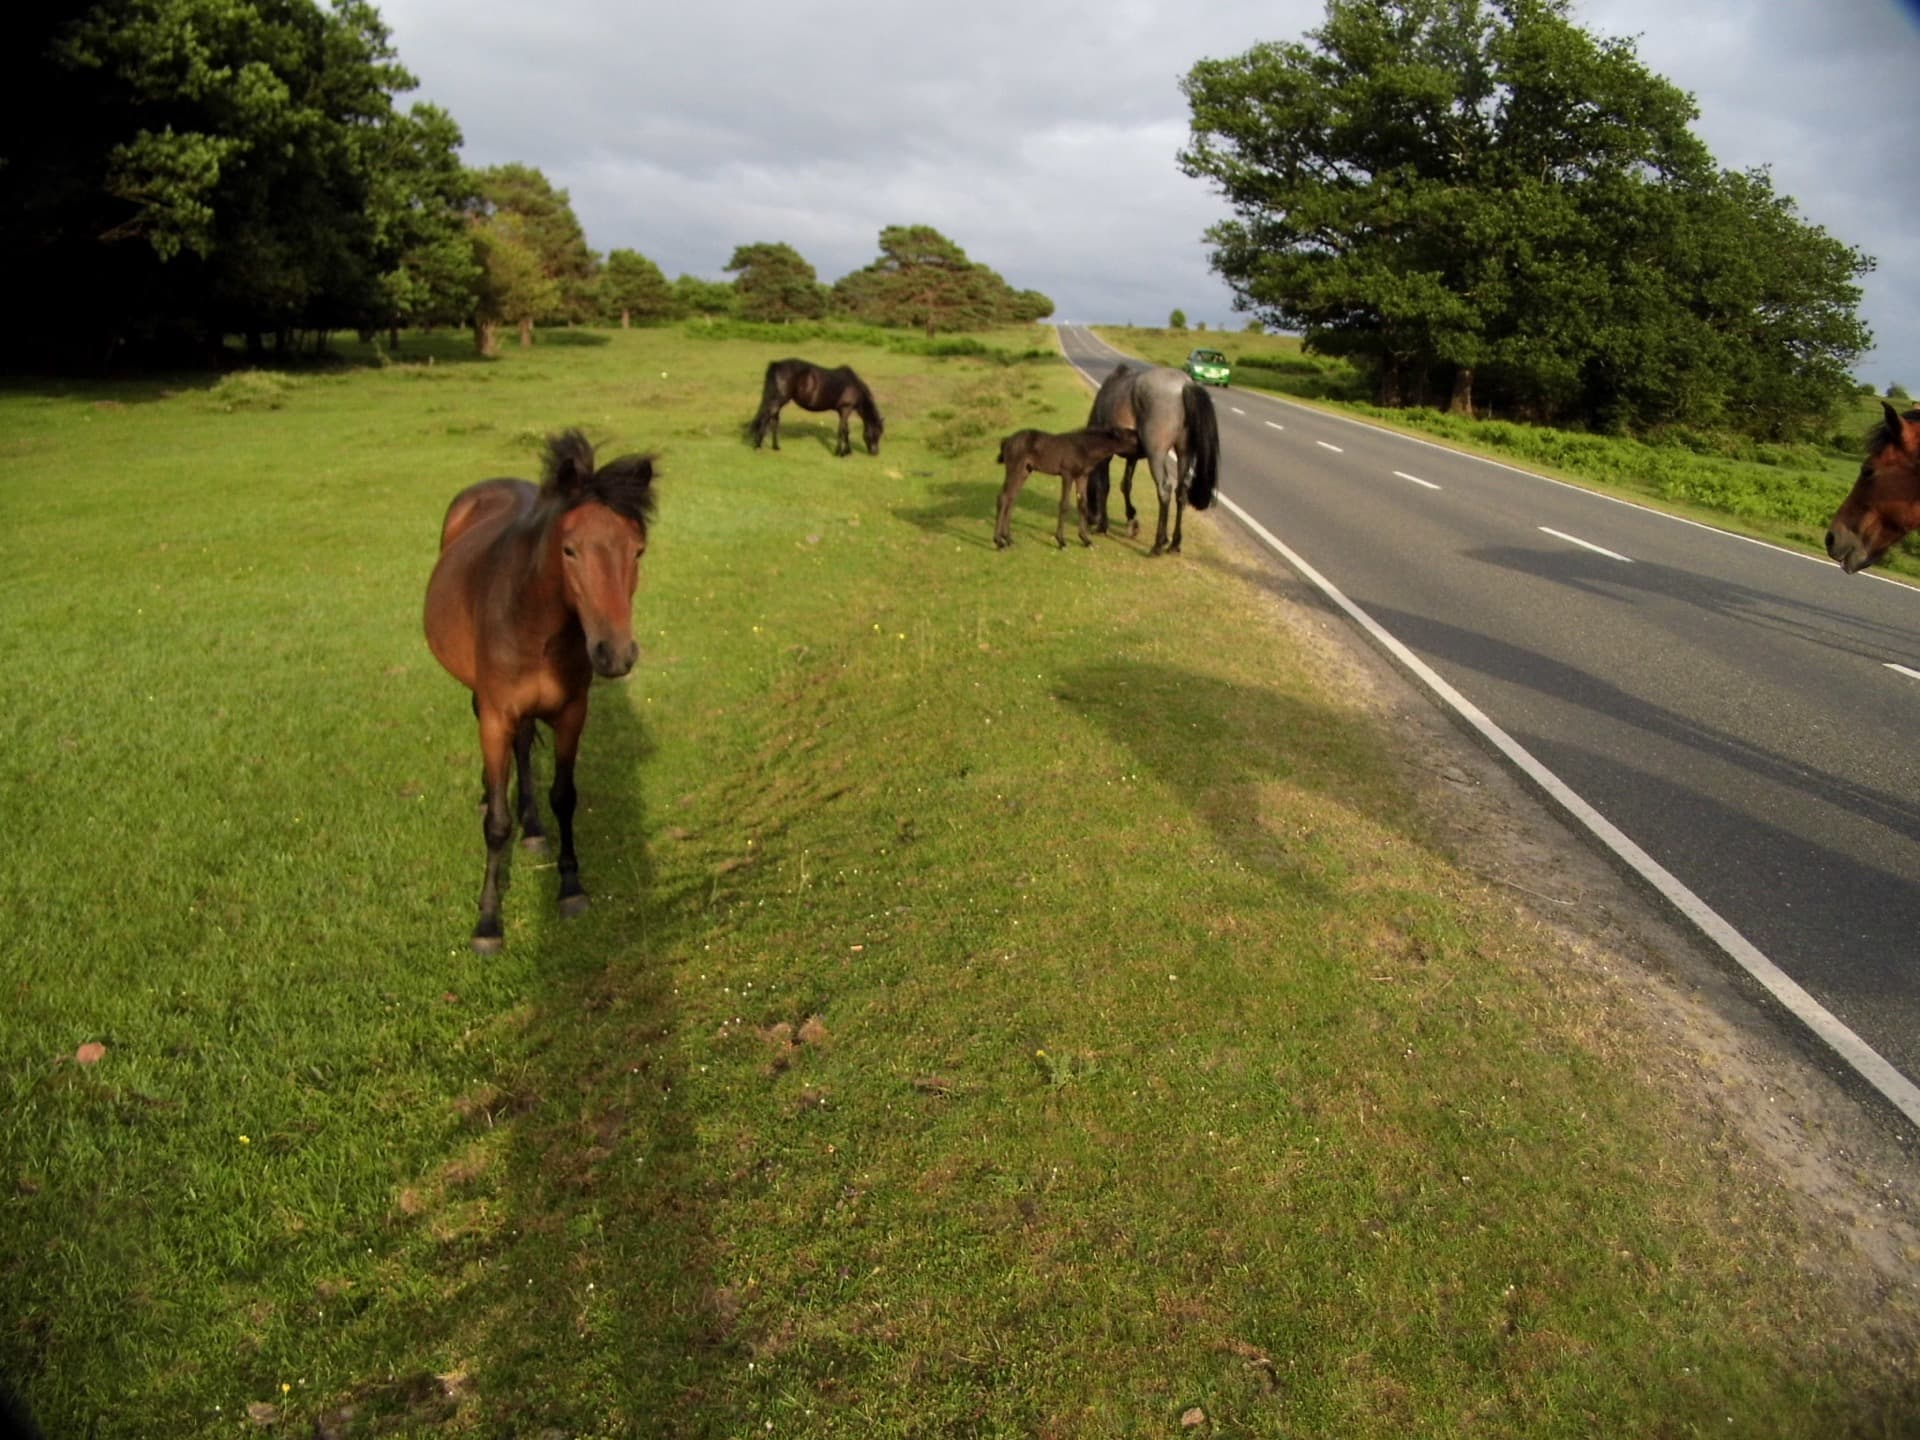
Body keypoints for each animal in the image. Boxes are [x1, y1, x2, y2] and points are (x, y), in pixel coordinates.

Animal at [423, 430, 658, 952]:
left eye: (637, 551)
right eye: (569, 551)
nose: (615, 653)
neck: (531, 621)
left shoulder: (572, 711)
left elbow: (564, 796)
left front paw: (570, 886)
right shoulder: (496, 715)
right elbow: (495, 825)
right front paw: (488, 920)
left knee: (527, 745)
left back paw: (532, 827)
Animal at [750, 358, 884, 457]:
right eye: (876, 433)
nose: (875, 453)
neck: (854, 386)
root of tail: (777, 364)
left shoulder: (844, 411)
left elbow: (846, 430)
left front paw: (847, 452)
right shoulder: (845, 409)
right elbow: (842, 430)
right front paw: (839, 453)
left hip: (778, 402)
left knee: (773, 421)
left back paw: (775, 447)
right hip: (778, 400)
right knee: (766, 419)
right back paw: (757, 446)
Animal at [992, 424, 1143, 550]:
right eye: (1134, 438)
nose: (1144, 451)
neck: (1084, 448)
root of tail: (1007, 440)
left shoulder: (1082, 477)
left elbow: (1082, 505)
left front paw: (1086, 540)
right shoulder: (1067, 474)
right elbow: (1064, 504)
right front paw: (1061, 541)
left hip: (1024, 471)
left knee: (1011, 498)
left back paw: (1008, 539)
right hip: (1014, 469)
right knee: (1003, 497)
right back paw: (999, 542)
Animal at [1083, 363, 1220, 553]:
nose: (1089, 519)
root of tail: (1184, 384)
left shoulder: (1106, 456)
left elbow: (1104, 486)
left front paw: (1103, 526)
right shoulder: (1131, 457)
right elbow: (1126, 485)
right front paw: (1132, 521)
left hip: (1156, 454)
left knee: (1164, 490)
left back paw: (1158, 544)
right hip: (1183, 454)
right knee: (1181, 493)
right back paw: (1174, 543)